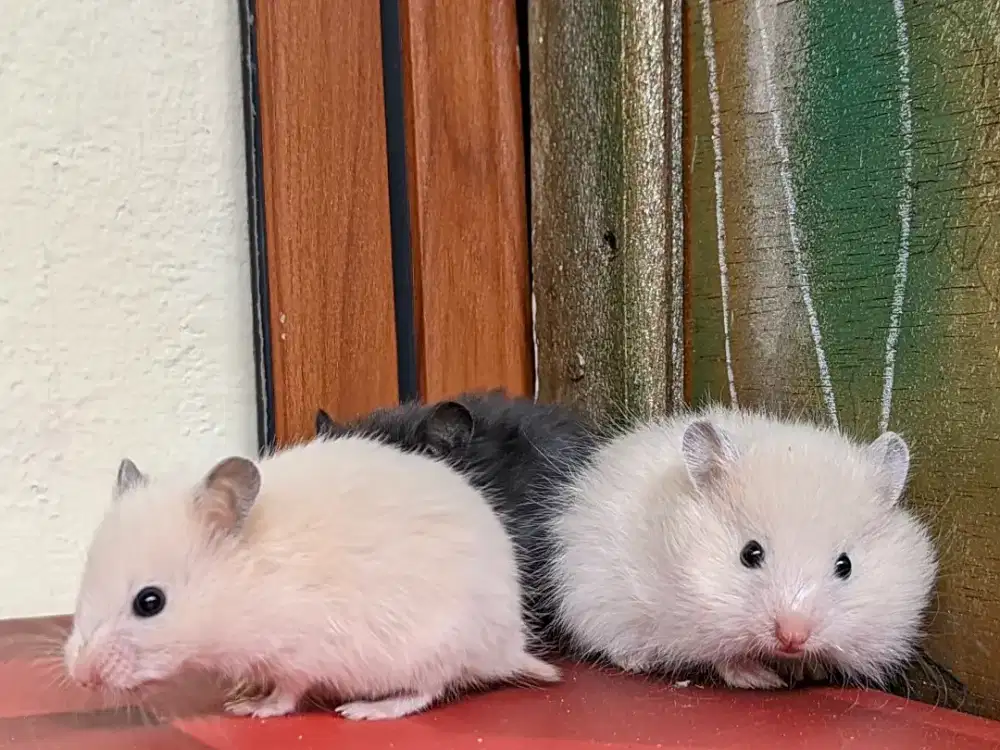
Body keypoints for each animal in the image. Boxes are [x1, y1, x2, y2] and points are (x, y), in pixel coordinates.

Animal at [63, 437, 560, 721]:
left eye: (150, 602)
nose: (81, 678)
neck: (243, 585)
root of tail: (508, 647)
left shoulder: (300, 655)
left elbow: (287, 693)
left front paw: (252, 710)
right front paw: (240, 693)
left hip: (435, 647)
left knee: (429, 690)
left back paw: (365, 711)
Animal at [546, 405, 938, 690]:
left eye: (846, 565)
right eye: (750, 553)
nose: (792, 637)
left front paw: (807, 671)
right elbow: (726, 657)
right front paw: (763, 680)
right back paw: (639, 661)